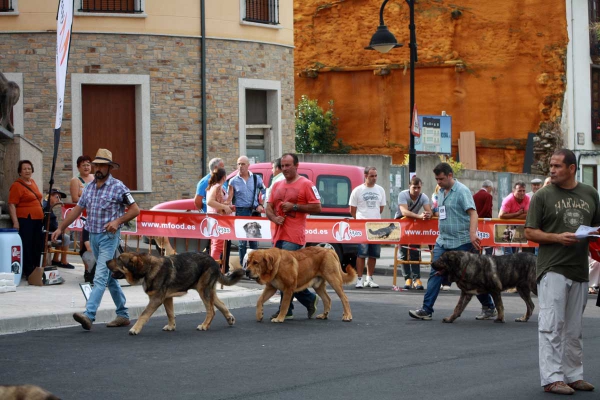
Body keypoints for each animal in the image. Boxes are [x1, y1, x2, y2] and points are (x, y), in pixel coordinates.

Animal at [106, 253, 243, 334]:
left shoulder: (156, 299)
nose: (106, 261)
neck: (147, 268)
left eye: (119, 259)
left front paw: (135, 329)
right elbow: (170, 313)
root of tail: (214, 261)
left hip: (203, 291)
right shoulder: (167, 298)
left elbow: (143, 314)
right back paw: (229, 319)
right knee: (221, 304)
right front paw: (171, 326)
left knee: (211, 311)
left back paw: (204, 325)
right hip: (208, 291)